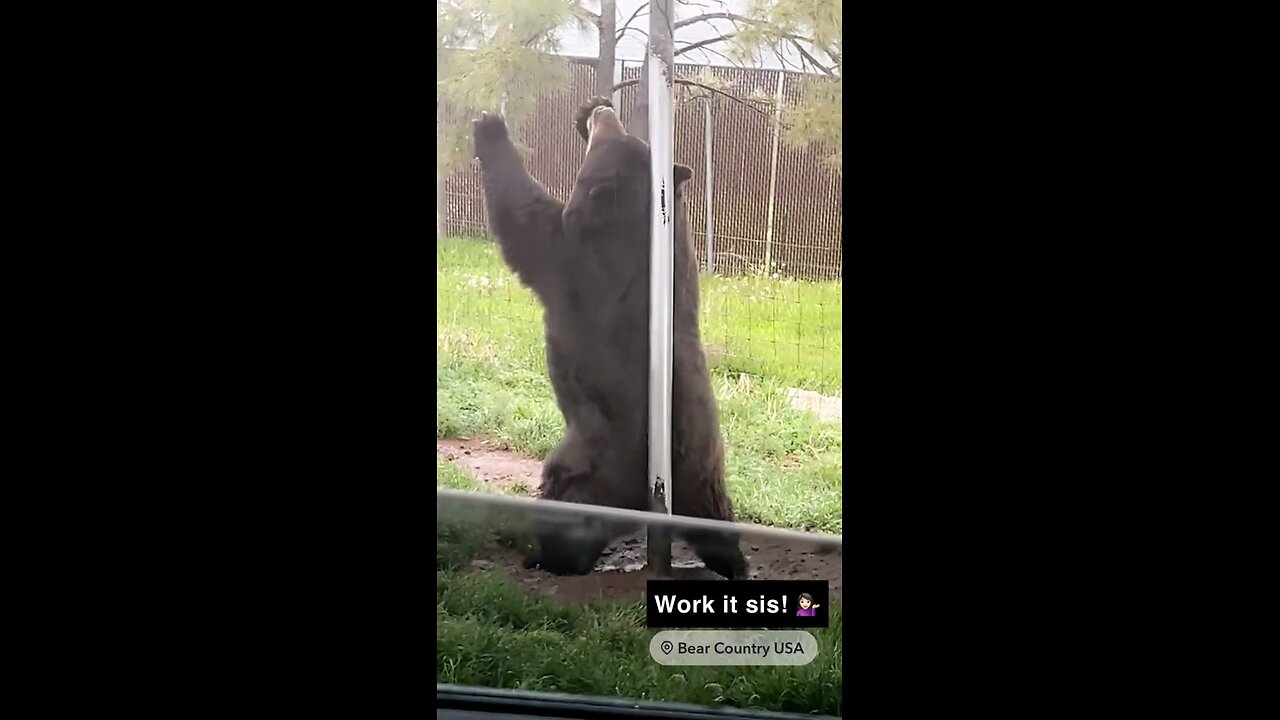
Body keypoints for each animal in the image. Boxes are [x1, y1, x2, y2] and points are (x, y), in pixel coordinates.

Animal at [471, 104, 747, 581]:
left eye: (607, 135)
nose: (600, 111)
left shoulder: (577, 261)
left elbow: (526, 221)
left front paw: (490, 128)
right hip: (704, 475)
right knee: (716, 520)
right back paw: (735, 563)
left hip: (592, 467)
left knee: (568, 514)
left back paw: (548, 557)